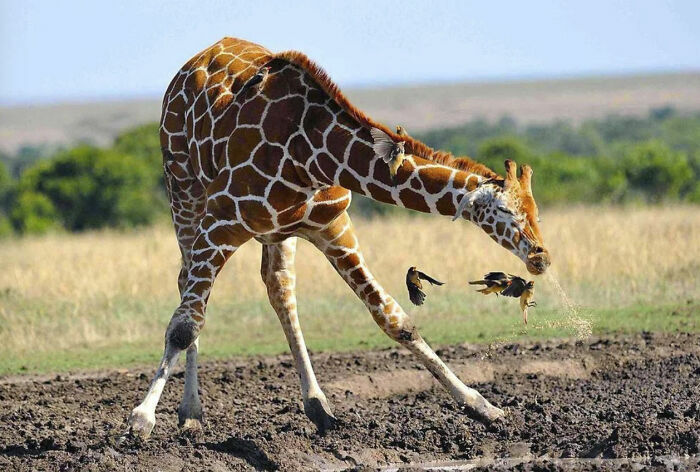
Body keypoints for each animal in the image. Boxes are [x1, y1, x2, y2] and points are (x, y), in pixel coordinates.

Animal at [128, 37, 551, 439]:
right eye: (506, 212)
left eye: (536, 212)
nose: (541, 258)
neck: (311, 155)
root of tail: (193, 62)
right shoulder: (221, 221)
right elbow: (184, 325)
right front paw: (141, 419)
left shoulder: (333, 228)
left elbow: (396, 320)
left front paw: (484, 408)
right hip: (185, 194)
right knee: (187, 285)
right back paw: (191, 413)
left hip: (276, 234)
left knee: (279, 289)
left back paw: (317, 405)